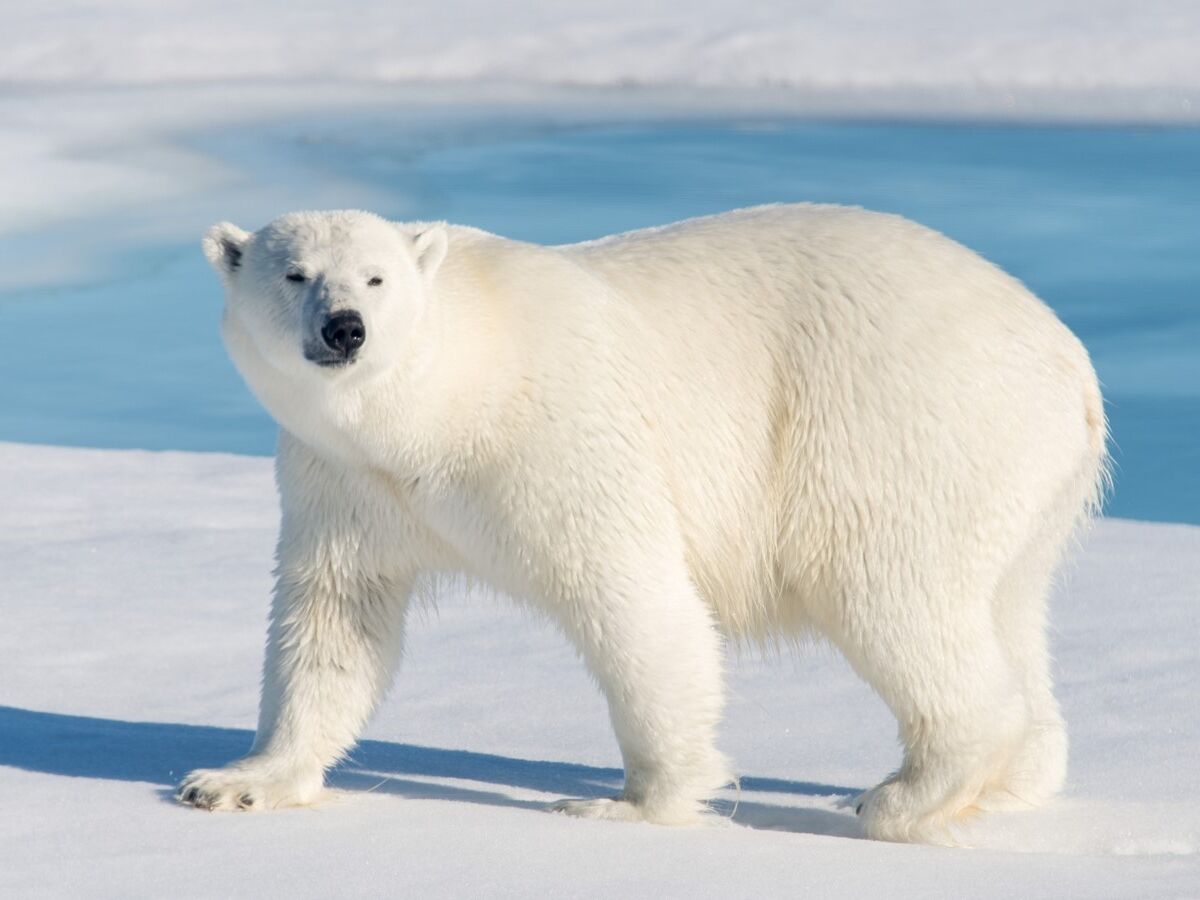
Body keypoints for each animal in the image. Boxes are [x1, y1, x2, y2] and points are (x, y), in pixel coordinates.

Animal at [179, 204, 1107, 843]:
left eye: (377, 278)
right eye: (295, 273)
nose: (346, 329)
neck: (443, 402)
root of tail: (1069, 359)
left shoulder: (558, 435)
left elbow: (633, 598)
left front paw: (628, 804)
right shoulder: (345, 480)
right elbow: (334, 619)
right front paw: (235, 781)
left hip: (898, 426)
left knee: (891, 594)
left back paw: (901, 795)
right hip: (1021, 482)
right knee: (1007, 607)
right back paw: (1014, 780)